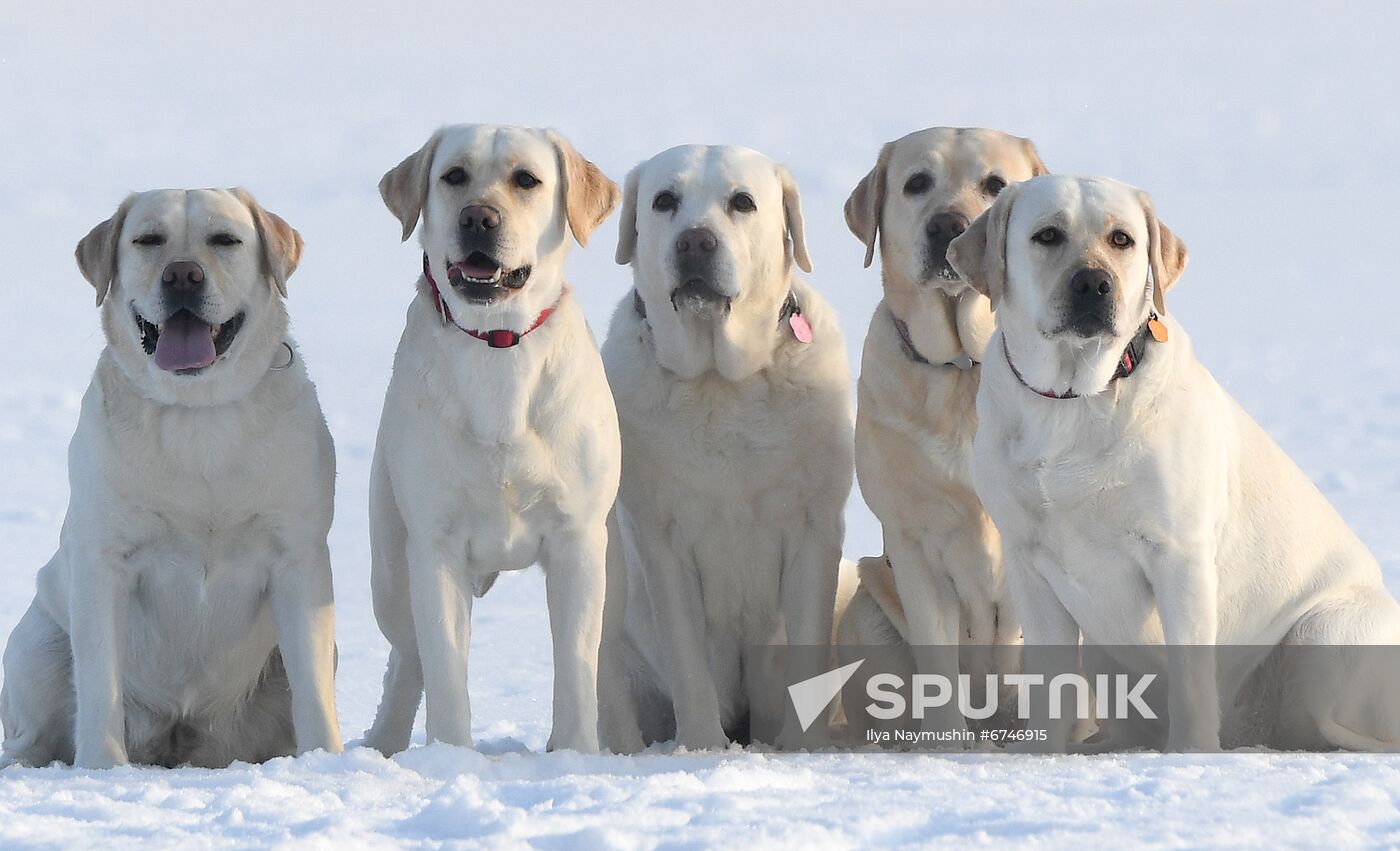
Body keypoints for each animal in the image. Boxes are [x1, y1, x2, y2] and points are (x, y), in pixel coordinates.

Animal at [2, 187, 341, 772]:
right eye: (148, 240)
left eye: (225, 239)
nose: (183, 275)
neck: (196, 415)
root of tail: (179, 738)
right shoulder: (104, 562)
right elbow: (101, 683)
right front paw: (103, 768)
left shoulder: (298, 557)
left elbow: (314, 689)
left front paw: (330, 763)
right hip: (37, 647)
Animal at [364, 124, 621, 750]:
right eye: (453, 175)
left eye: (526, 179)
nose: (479, 217)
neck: (497, 343)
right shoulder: (435, 544)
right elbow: (445, 667)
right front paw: (453, 757)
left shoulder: (580, 538)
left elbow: (575, 665)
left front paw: (574, 752)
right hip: (391, 567)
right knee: (409, 655)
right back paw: (383, 743)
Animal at [602, 146, 851, 750]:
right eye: (664, 199)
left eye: (742, 201)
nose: (695, 242)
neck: (720, 382)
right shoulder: (661, 539)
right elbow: (688, 660)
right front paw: (702, 745)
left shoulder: (815, 528)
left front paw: (805, 749)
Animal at [834, 124, 1047, 733]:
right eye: (916, 183)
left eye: (995, 184)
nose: (948, 226)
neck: (963, 369)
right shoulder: (914, 545)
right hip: (868, 607)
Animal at [946, 174, 1400, 750]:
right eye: (1047, 235)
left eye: (1122, 239)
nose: (1094, 284)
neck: (1074, 401)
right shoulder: (1028, 563)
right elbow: (1051, 685)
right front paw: (1047, 752)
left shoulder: (1178, 554)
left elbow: (1190, 677)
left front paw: (1191, 752)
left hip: (1324, 633)